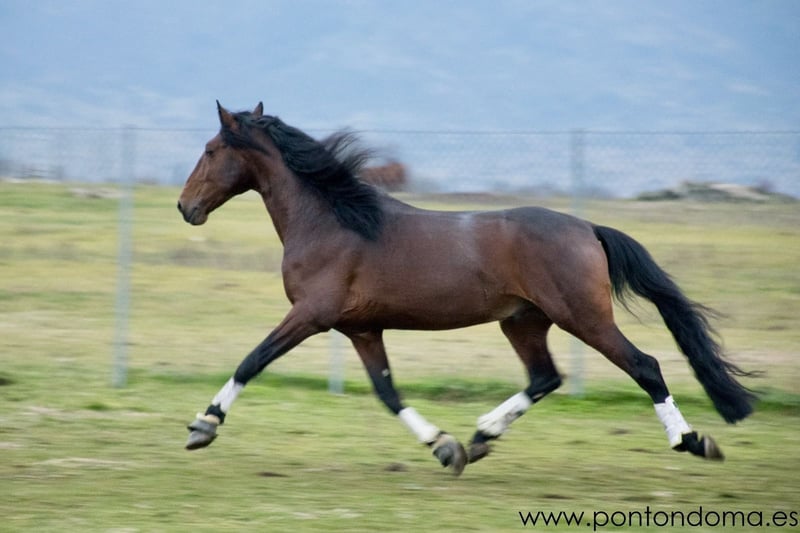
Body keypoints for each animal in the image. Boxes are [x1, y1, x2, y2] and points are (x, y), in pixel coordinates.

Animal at [177, 102, 755, 476]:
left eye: (210, 149)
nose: (186, 207)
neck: (332, 222)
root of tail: (588, 229)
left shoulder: (311, 315)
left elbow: (252, 360)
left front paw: (203, 425)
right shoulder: (362, 330)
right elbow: (388, 392)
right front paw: (445, 447)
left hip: (583, 318)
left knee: (644, 365)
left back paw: (691, 441)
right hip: (523, 321)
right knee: (545, 377)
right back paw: (481, 437)